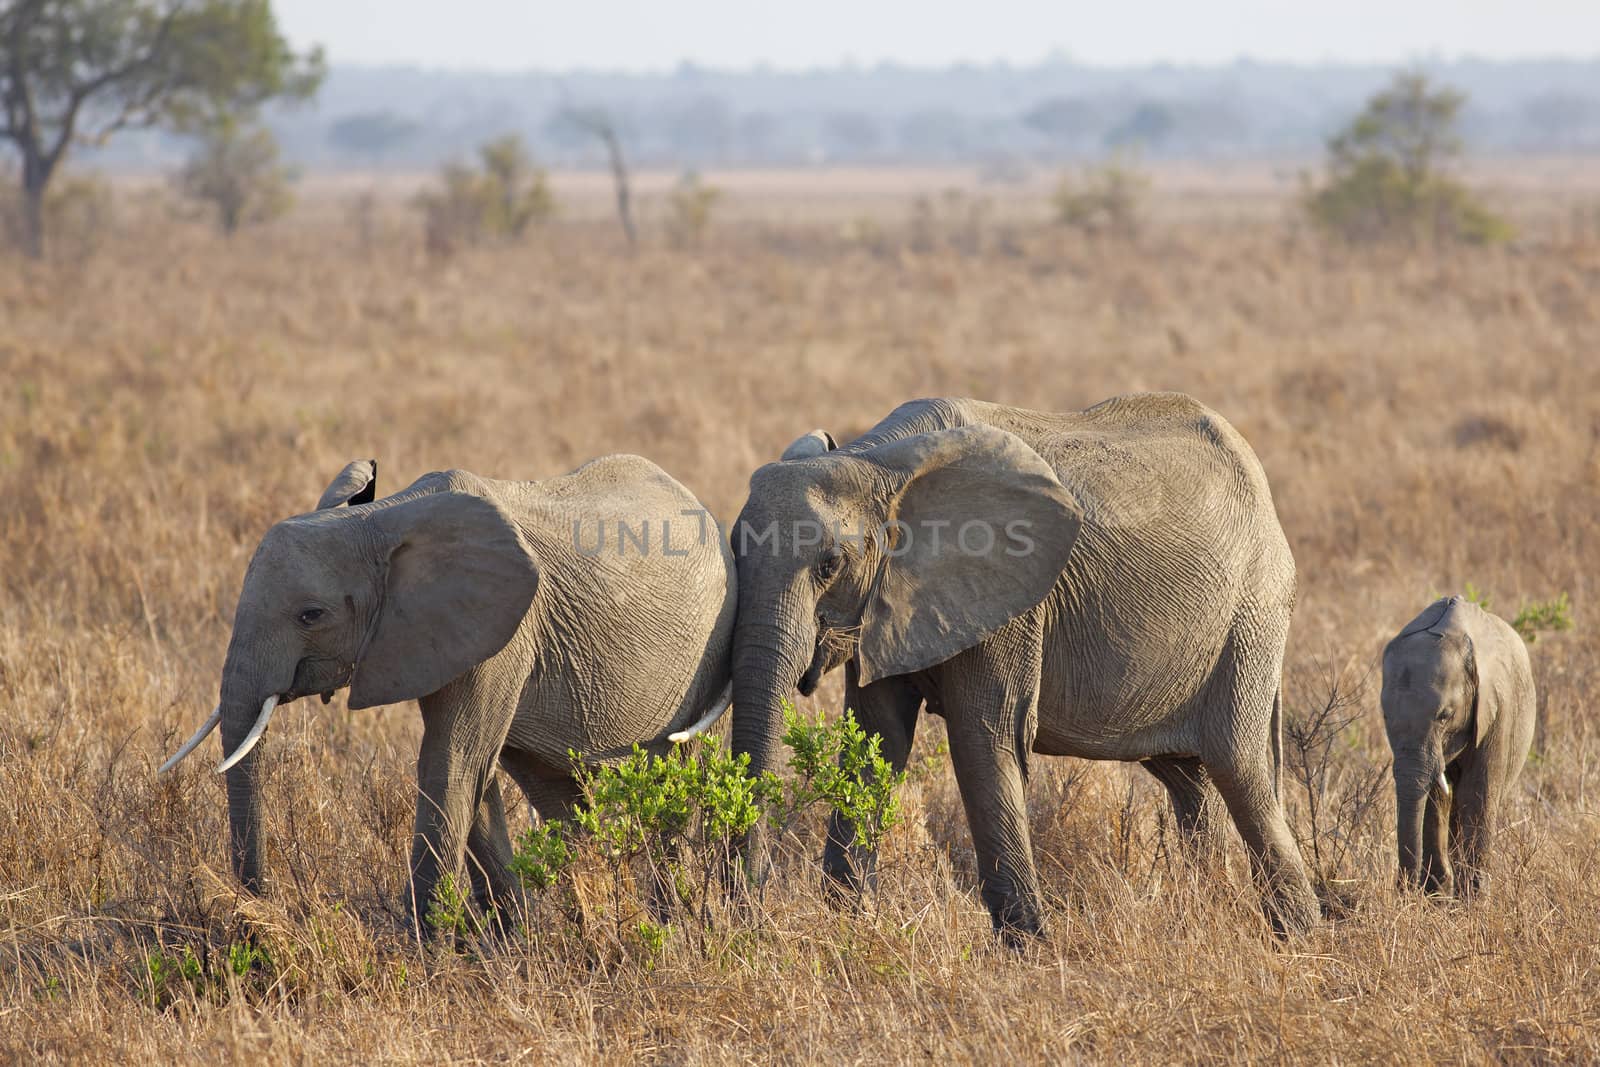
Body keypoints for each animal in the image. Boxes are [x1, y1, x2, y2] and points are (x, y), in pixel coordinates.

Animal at [732, 396, 1318, 947]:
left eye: (829, 564)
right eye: (733, 551)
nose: (750, 913)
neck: (874, 461)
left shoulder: (1011, 602)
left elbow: (983, 741)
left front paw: (1029, 947)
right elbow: (878, 738)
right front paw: (848, 925)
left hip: (1252, 614)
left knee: (1238, 767)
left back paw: (1300, 936)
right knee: (1189, 778)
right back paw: (1211, 908)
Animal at [1382, 598, 1529, 895]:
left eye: (1445, 716)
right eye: (1385, 717)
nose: (1403, 891)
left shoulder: (1497, 709)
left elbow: (1478, 793)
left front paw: (1473, 900)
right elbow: (1434, 796)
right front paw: (1435, 895)